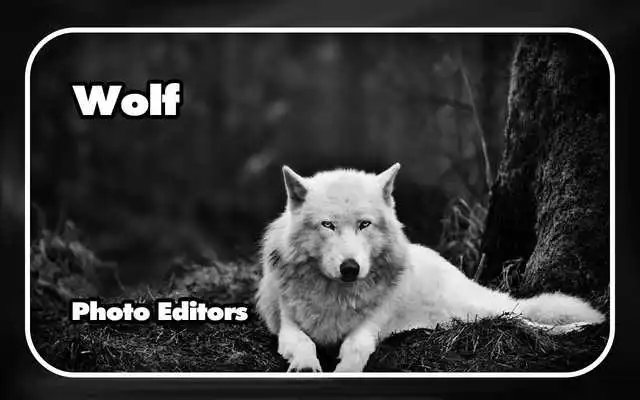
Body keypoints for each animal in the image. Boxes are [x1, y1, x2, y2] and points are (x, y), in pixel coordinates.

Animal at [255, 163, 605, 373]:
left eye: (364, 224)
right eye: (327, 225)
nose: (350, 268)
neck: (337, 296)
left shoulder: (372, 324)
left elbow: (355, 345)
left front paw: (346, 370)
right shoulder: (287, 325)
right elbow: (303, 342)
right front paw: (306, 365)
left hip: (477, 309)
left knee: (523, 318)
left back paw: (578, 327)